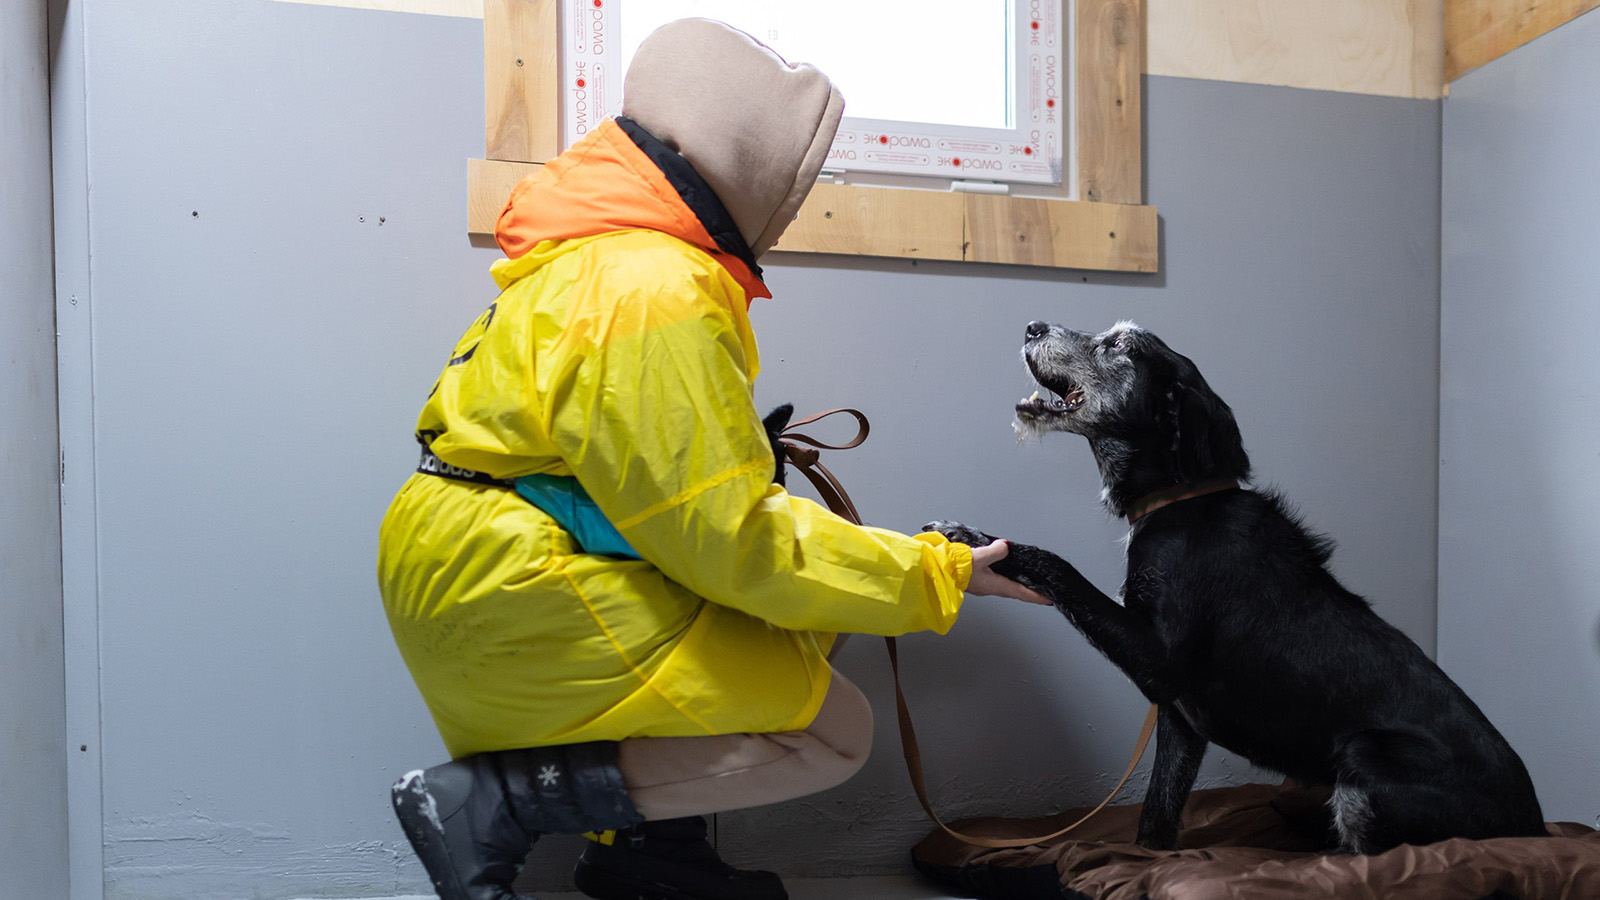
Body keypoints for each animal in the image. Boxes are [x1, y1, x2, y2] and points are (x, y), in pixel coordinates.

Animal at [934, 320, 1542, 845]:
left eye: (1121, 346)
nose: (1033, 326)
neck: (1181, 500)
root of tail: (1534, 827)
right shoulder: (1181, 721)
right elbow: (1155, 819)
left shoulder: (1159, 663)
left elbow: (1058, 566)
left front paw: (973, 539)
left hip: (1363, 759)